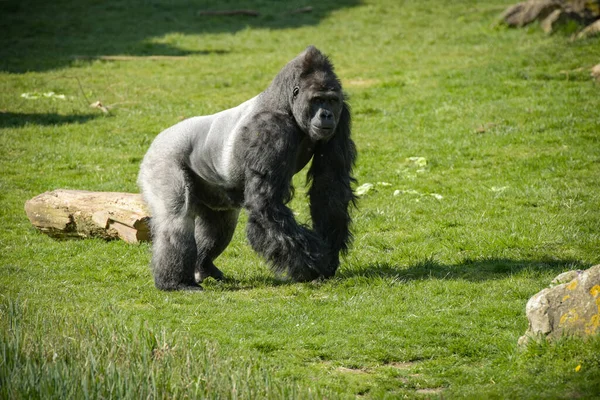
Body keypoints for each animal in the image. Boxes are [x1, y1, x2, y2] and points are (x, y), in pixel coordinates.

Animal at [139, 46, 356, 290]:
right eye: (317, 100)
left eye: (332, 100)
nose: (326, 114)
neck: (284, 103)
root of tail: (157, 139)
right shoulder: (271, 129)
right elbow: (266, 204)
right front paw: (315, 264)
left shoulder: (342, 116)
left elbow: (329, 187)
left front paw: (330, 251)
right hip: (162, 158)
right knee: (176, 219)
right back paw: (175, 282)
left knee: (220, 223)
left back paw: (203, 266)